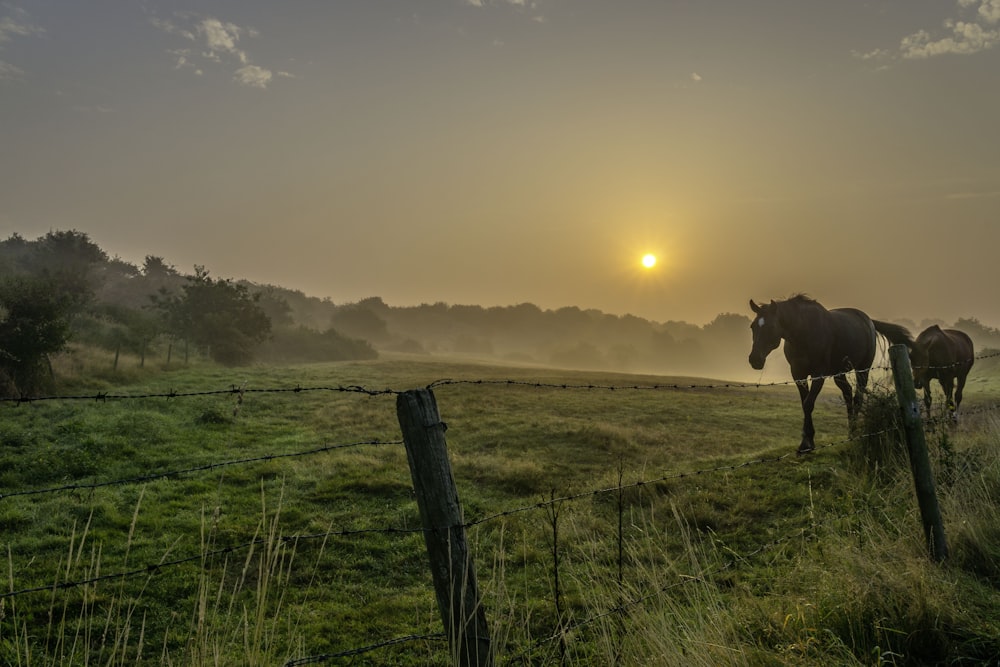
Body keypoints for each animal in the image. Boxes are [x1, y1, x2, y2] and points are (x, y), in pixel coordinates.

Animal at [748, 296, 912, 454]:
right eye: (752, 326)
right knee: (847, 393)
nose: (754, 359)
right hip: (838, 373)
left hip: (862, 370)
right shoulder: (798, 374)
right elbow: (804, 403)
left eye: (771, 327)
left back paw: (854, 432)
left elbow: (808, 403)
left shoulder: (818, 374)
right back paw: (851, 431)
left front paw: (806, 444)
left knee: (858, 397)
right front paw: (807, 441)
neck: (803, 333)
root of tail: (869, 321)